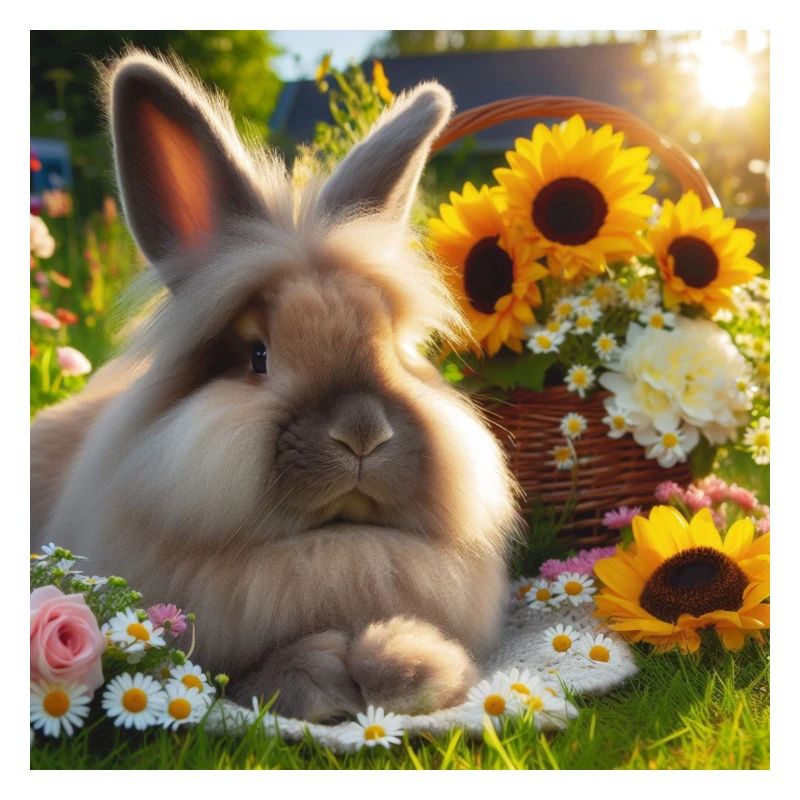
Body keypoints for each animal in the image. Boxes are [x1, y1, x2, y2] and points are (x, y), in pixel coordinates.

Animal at [30, 51, 520, 722]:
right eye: (258, 357)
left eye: (394, 349)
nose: (363, 433)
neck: (333, 545)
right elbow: (252, 673)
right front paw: (318, 679)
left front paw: (407, 665)